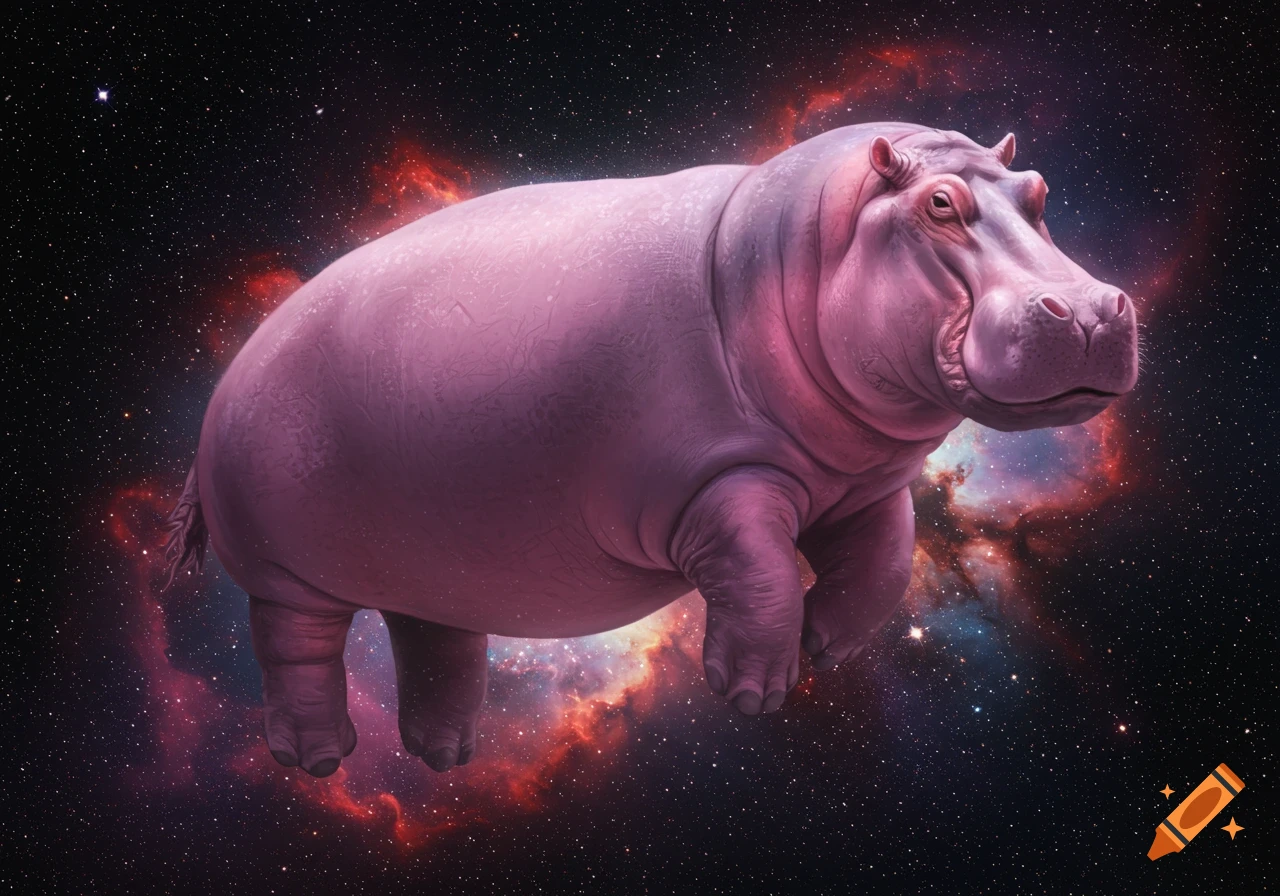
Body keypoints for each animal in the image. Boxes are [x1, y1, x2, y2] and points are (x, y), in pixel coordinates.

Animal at [164, 122, 1138, 778]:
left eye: (1039, 190)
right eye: (940, 204)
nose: (1094, 310)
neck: (798, 250)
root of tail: (228, 376)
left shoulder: (863, 486)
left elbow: (882, 572)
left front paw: (823, 650)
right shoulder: (717, 484)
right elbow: (763, 574)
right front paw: (755, 692)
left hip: (429, 562)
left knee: (435, 642)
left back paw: (447, 757)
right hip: (289, 573)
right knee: (298, 650)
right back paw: (321, 760)